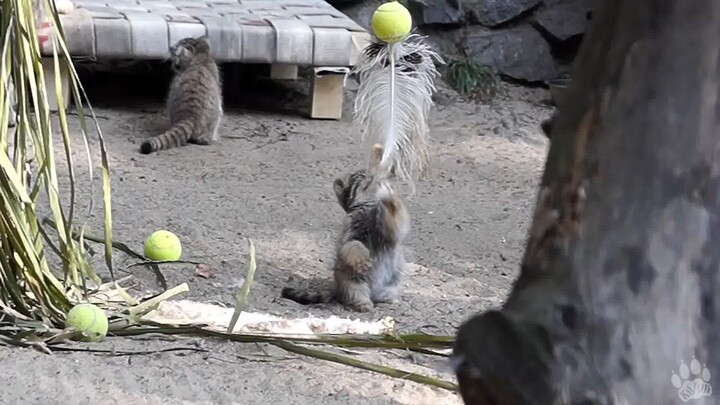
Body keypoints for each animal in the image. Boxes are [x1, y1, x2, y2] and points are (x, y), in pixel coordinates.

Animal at [282, 145, 410, 312]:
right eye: (359, 177)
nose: (371, 174)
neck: (369, 206)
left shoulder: (391, 231)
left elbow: (395, 220)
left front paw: (391, 199)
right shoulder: (350, 233)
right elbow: (353, 246)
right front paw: (361, 259)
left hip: (391, 284)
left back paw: (389, 300)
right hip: (352, 282)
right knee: (355, 294)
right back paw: (363, 304)